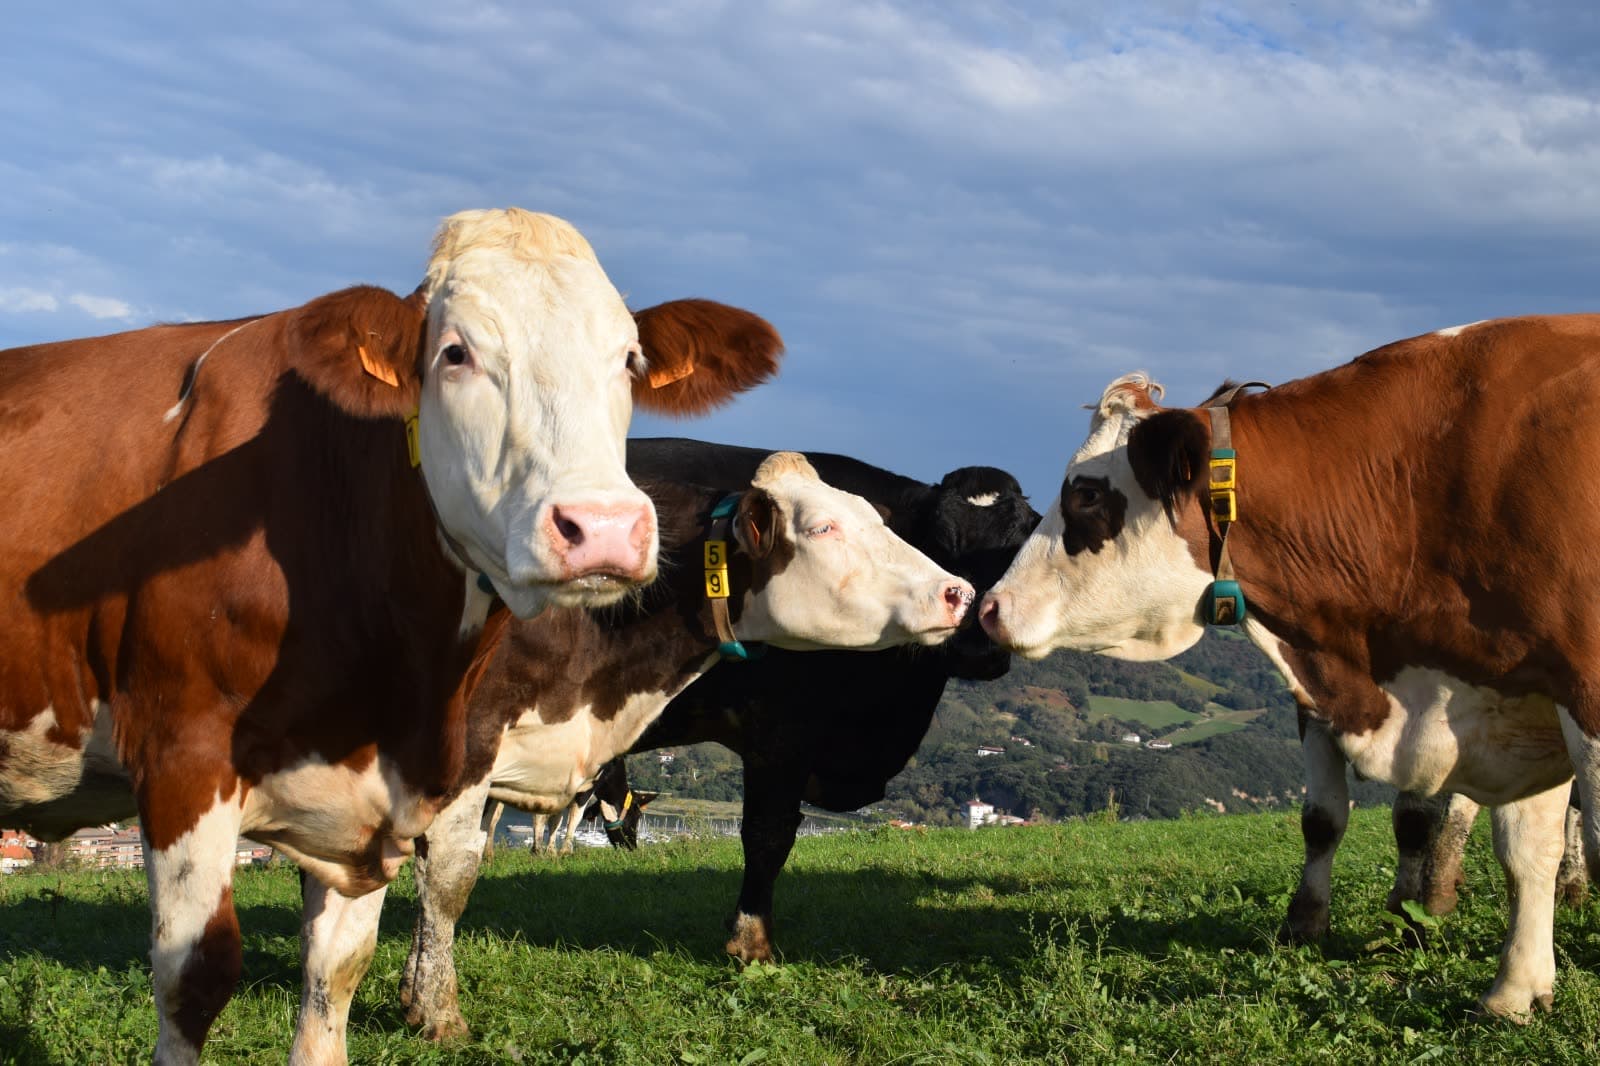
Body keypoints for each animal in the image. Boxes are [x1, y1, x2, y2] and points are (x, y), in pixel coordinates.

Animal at [0, 207, 783, 1063]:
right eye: (455, 352)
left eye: (630, 360)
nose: (603, 528)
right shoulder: (182, 755)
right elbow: (193, 974)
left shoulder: (376, 796)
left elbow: (337, 971)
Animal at [272, 450, 979, 1043]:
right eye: (825, 528)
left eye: (875, 518)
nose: (960, 592)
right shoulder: (466, 744)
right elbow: (450, 877)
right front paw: (436, 1012)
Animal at [625, 437, 1039, 963]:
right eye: (938, 541)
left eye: (1019, 544)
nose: (977, 646)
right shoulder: (781, 729)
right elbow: (768, 833)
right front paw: (751, 939)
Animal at [979, 316, 1600, 1019]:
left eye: (1084, 494)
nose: (991, 606)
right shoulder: (1501, 692)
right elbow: (1505, 845)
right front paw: (1512, 988)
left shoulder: (1571, 690)